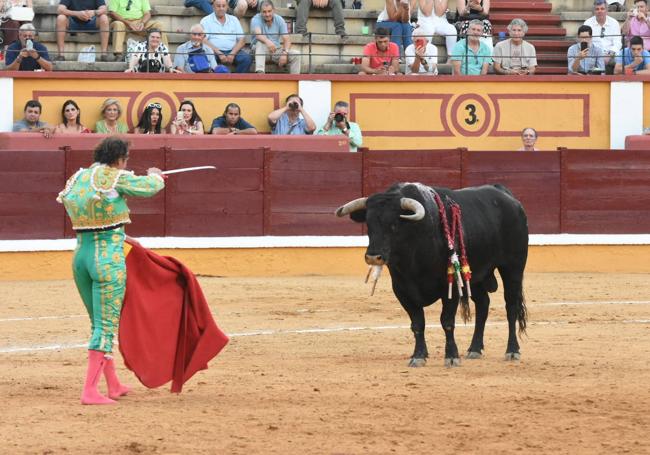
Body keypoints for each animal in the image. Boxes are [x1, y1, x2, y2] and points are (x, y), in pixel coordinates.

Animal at [334, 183, 528, 368]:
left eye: (394, 224)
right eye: (369, 224)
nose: (373, 257)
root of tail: (507, 196)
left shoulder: (450, 286)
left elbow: (447, 321)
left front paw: (451, 356)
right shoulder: (401, 290)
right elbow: (417, 323)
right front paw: (418, 356)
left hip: (513, 268)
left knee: (511, 307)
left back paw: (512, 351)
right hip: (476, 276)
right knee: (483, 305)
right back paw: (474, 349)